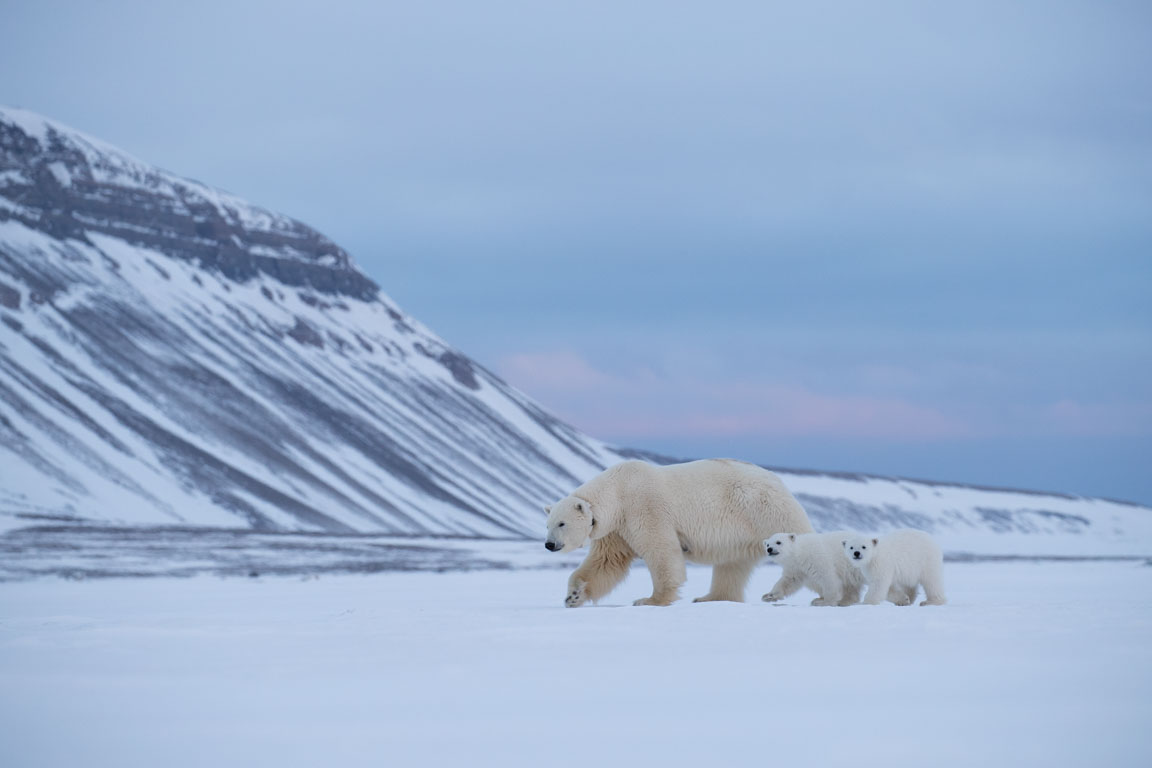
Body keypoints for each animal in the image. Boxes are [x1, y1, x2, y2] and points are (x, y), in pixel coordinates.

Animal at [543, 460, 815, 607]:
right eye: (547, 524)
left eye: (561, 523)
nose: (549, 545)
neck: (618, 490)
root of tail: (777, 480)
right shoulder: (617, 530)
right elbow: (606, 563)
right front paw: (573, 596)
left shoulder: (644, 508)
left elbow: (661, 551)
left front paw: (650, 599)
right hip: (741, 532)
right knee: (732, 566)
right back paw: (709, 598)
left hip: (765, 510)